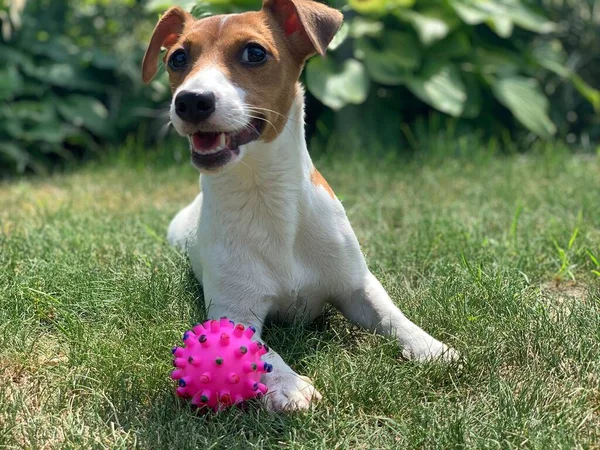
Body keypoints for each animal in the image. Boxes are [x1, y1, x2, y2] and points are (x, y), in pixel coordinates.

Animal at [142, 0, 460, 412]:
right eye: (177, 58)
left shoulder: (356, 285)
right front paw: (287, 383)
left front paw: (429, 346)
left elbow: (393, 315)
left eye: (255, 52)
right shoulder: (233, 308)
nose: (191, 101)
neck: (266, 196)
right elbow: (254, 347)